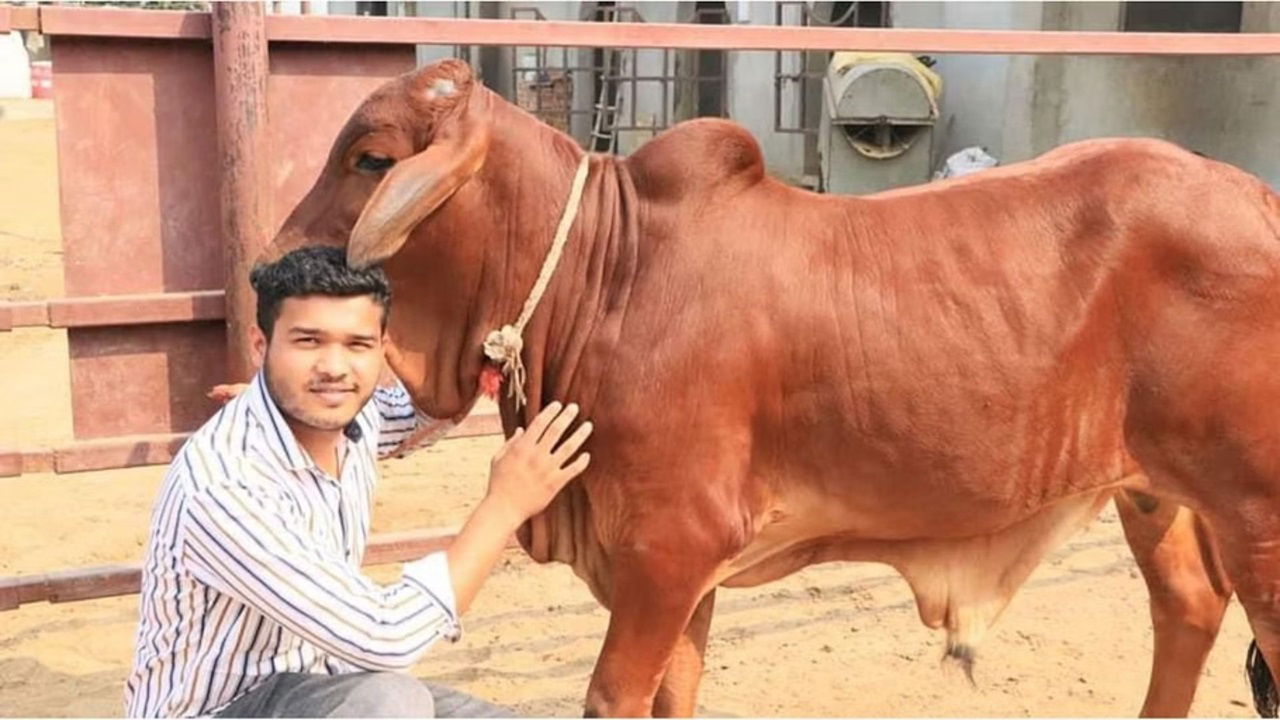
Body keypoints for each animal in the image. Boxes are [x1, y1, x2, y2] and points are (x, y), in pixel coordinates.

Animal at [270, 58, 1280, 712]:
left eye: (371, 158)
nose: (266, 268)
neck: (609, 273)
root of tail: (1258, 197)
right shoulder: (680, 572)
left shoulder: (669, 548)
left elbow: (616, 696)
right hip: (1153, 491)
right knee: (1188, 609)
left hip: (1254, 513)